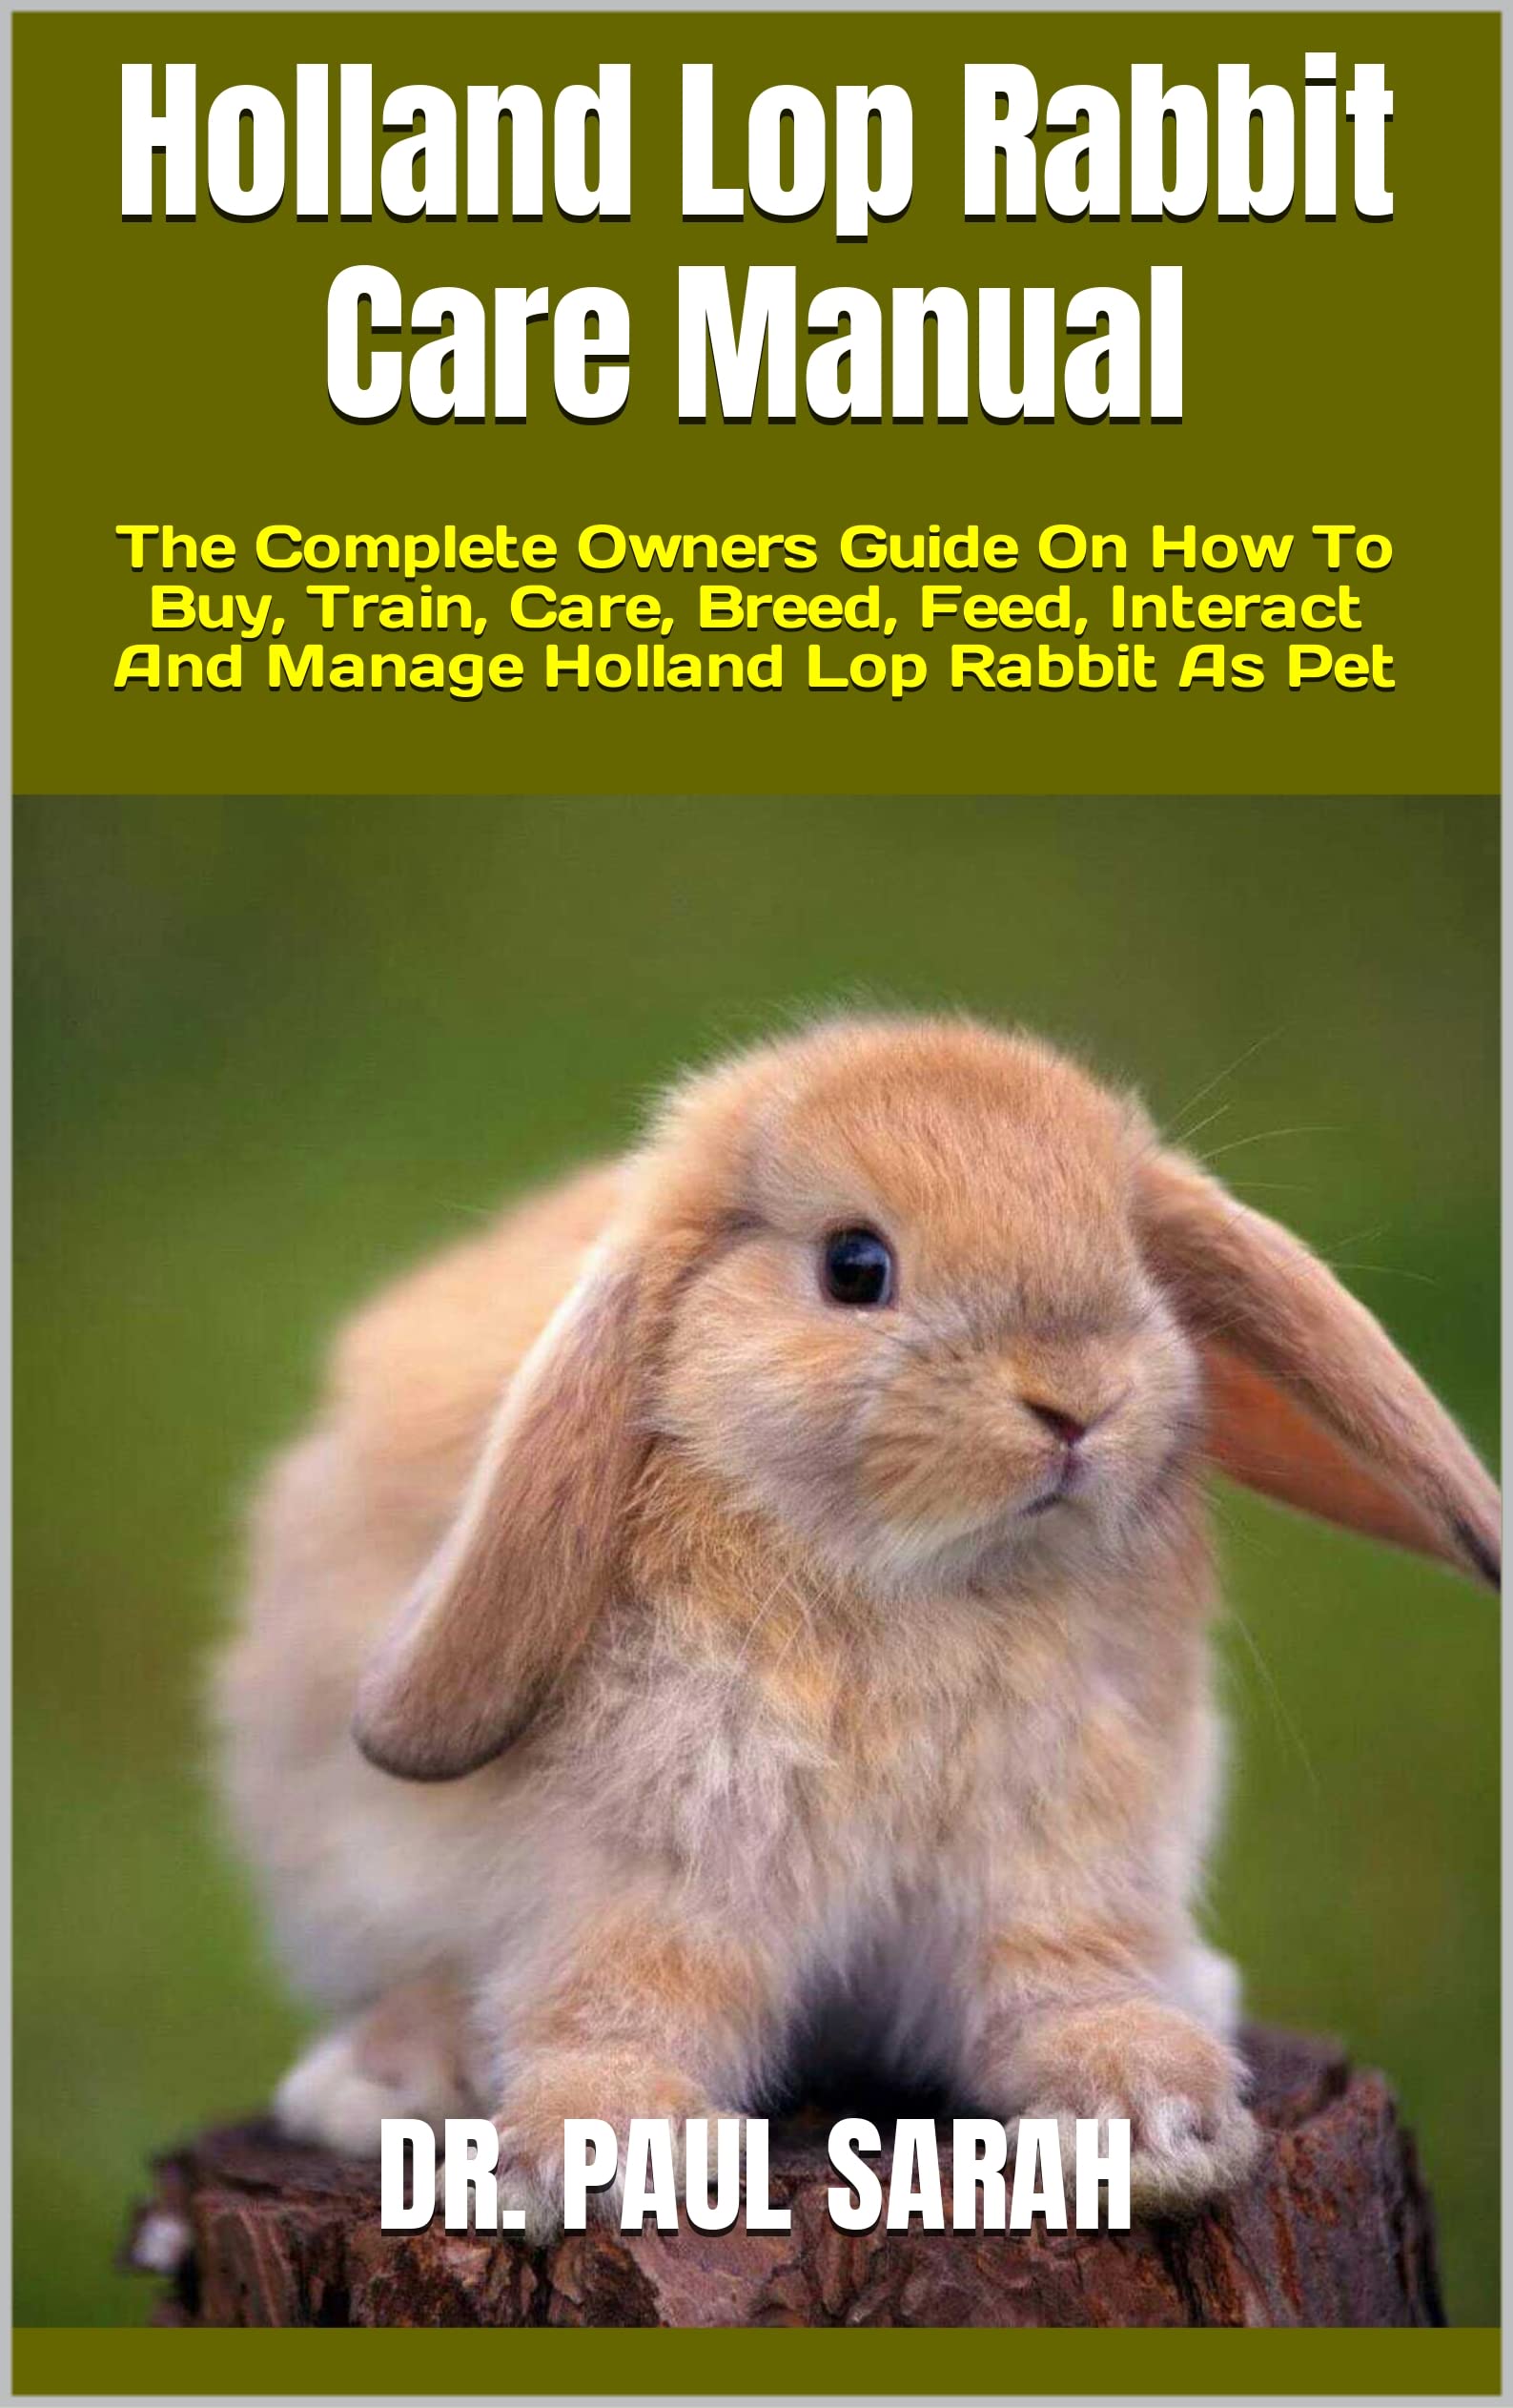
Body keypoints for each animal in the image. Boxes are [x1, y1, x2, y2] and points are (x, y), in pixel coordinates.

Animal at [214, 1014, 1499, 2230]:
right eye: (855, 1264)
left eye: (1133, 1251)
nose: (1078, 1401)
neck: (926, 1582)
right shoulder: (659, 1860)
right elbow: (622, 1997)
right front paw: (599, 2155)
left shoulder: (1057, 1853)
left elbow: (1065, 1980)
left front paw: (1158, 2119)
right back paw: (379, 2080)